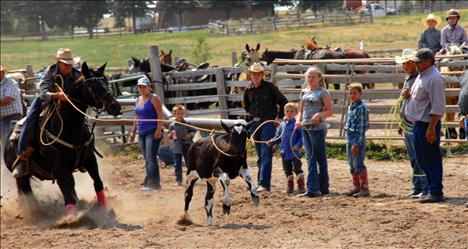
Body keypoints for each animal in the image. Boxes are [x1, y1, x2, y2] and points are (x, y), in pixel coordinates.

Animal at [3, 61, 120, 211]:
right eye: (93, 86)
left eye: (106, 82)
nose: (115, 106)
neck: (70, 128)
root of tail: (8, 139)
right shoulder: (59, 169)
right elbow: (68, 198)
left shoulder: (90, 159)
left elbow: (98, 183)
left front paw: (104, 211)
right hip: (21, 177)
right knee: (28, 193)